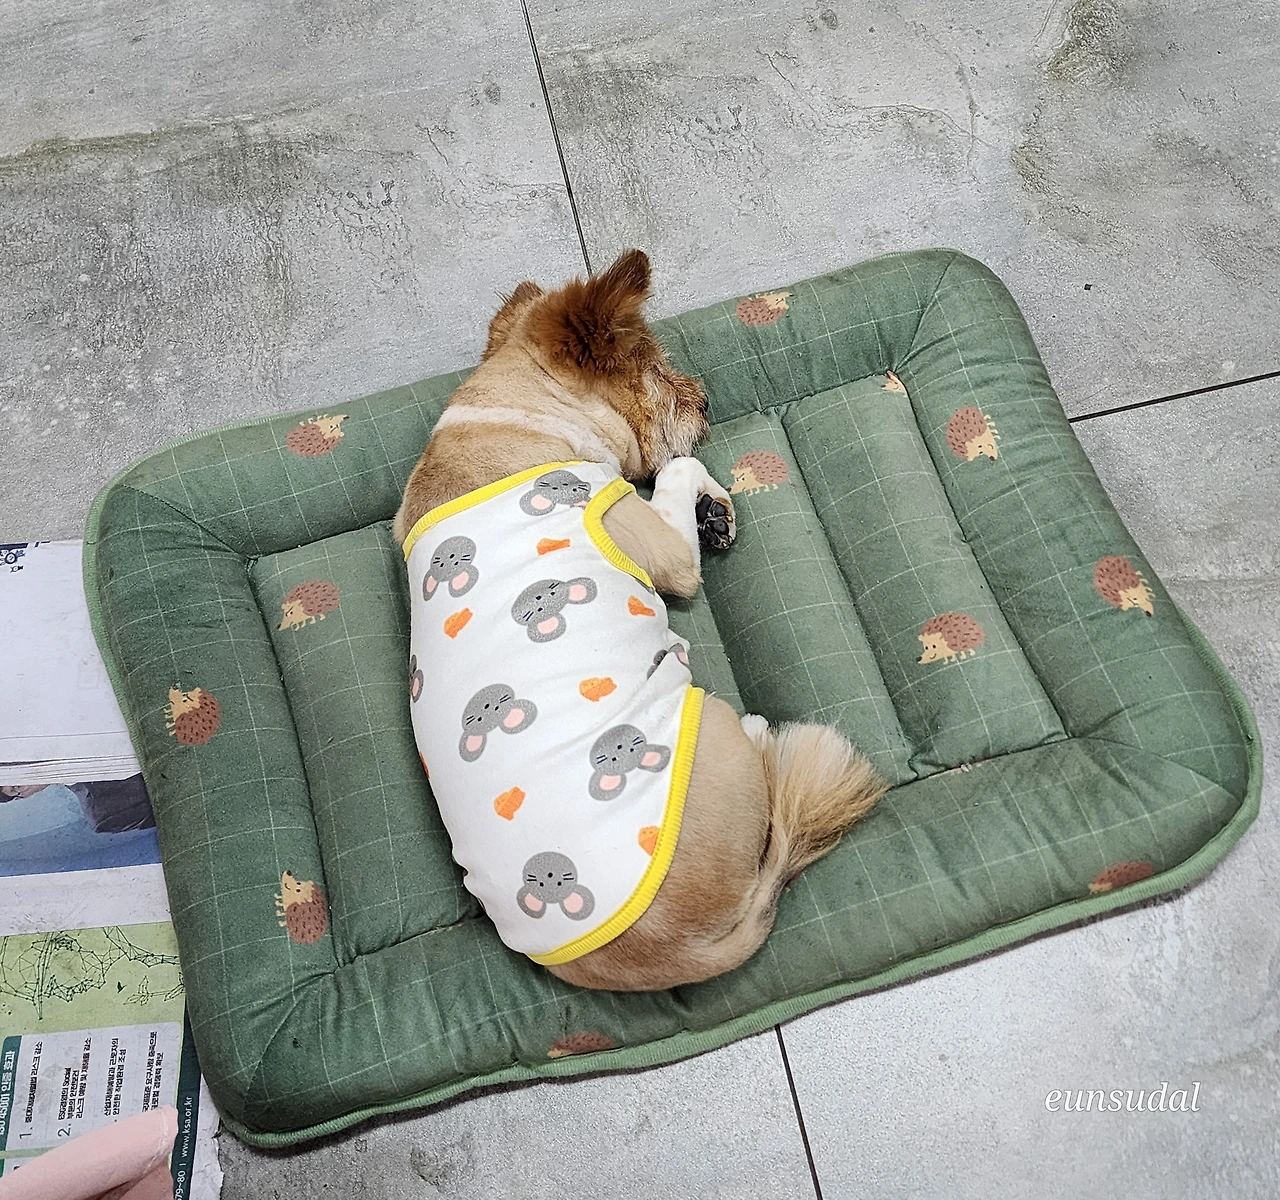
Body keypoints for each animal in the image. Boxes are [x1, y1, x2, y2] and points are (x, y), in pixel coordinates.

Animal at [394, 249, 886, 991]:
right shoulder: (658, 542)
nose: (705, 397)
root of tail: (686, 953)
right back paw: (757, 727)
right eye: (657, 373)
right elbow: (681, 469)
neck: (518, 421)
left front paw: (714, 514)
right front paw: (707, 499)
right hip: (705, 718)